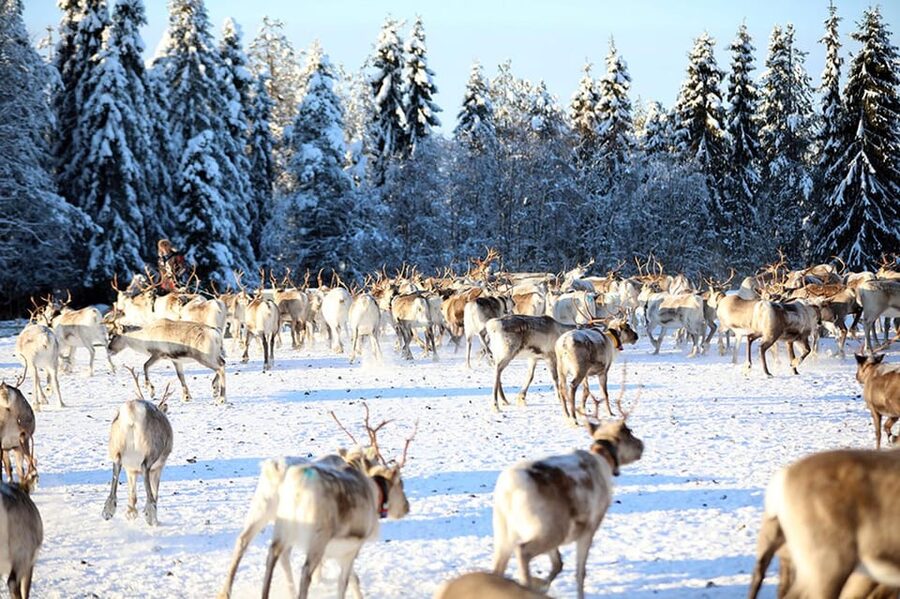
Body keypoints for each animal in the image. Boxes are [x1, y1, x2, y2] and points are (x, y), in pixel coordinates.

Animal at [101, 369, 173, 526]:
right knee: (145, 468)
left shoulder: (131, 470)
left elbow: (132, 493)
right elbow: (156, 491)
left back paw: (108, 510)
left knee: (116, 466)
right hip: (151, 450)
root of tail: (132, 411)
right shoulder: (159, 467)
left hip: (116, 446)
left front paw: (131, 512)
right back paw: (151, 516)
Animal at [248, 405, 415, 599]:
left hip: (275, 521)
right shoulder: (350, 548)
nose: (407, 506)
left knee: (265, 553)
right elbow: (347, 581)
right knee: (304, 570)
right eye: (401, 484)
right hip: (315, 536)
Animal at [492, 390, 643, 599]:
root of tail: (509, 490)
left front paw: (542, 584)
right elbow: (580, 572)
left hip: (504, 532)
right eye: (629, 432)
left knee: (497, 568)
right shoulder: (590, 526)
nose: (642, 445)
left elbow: (558, 564)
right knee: (522, 551)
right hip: (549, 529)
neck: (603, 458)